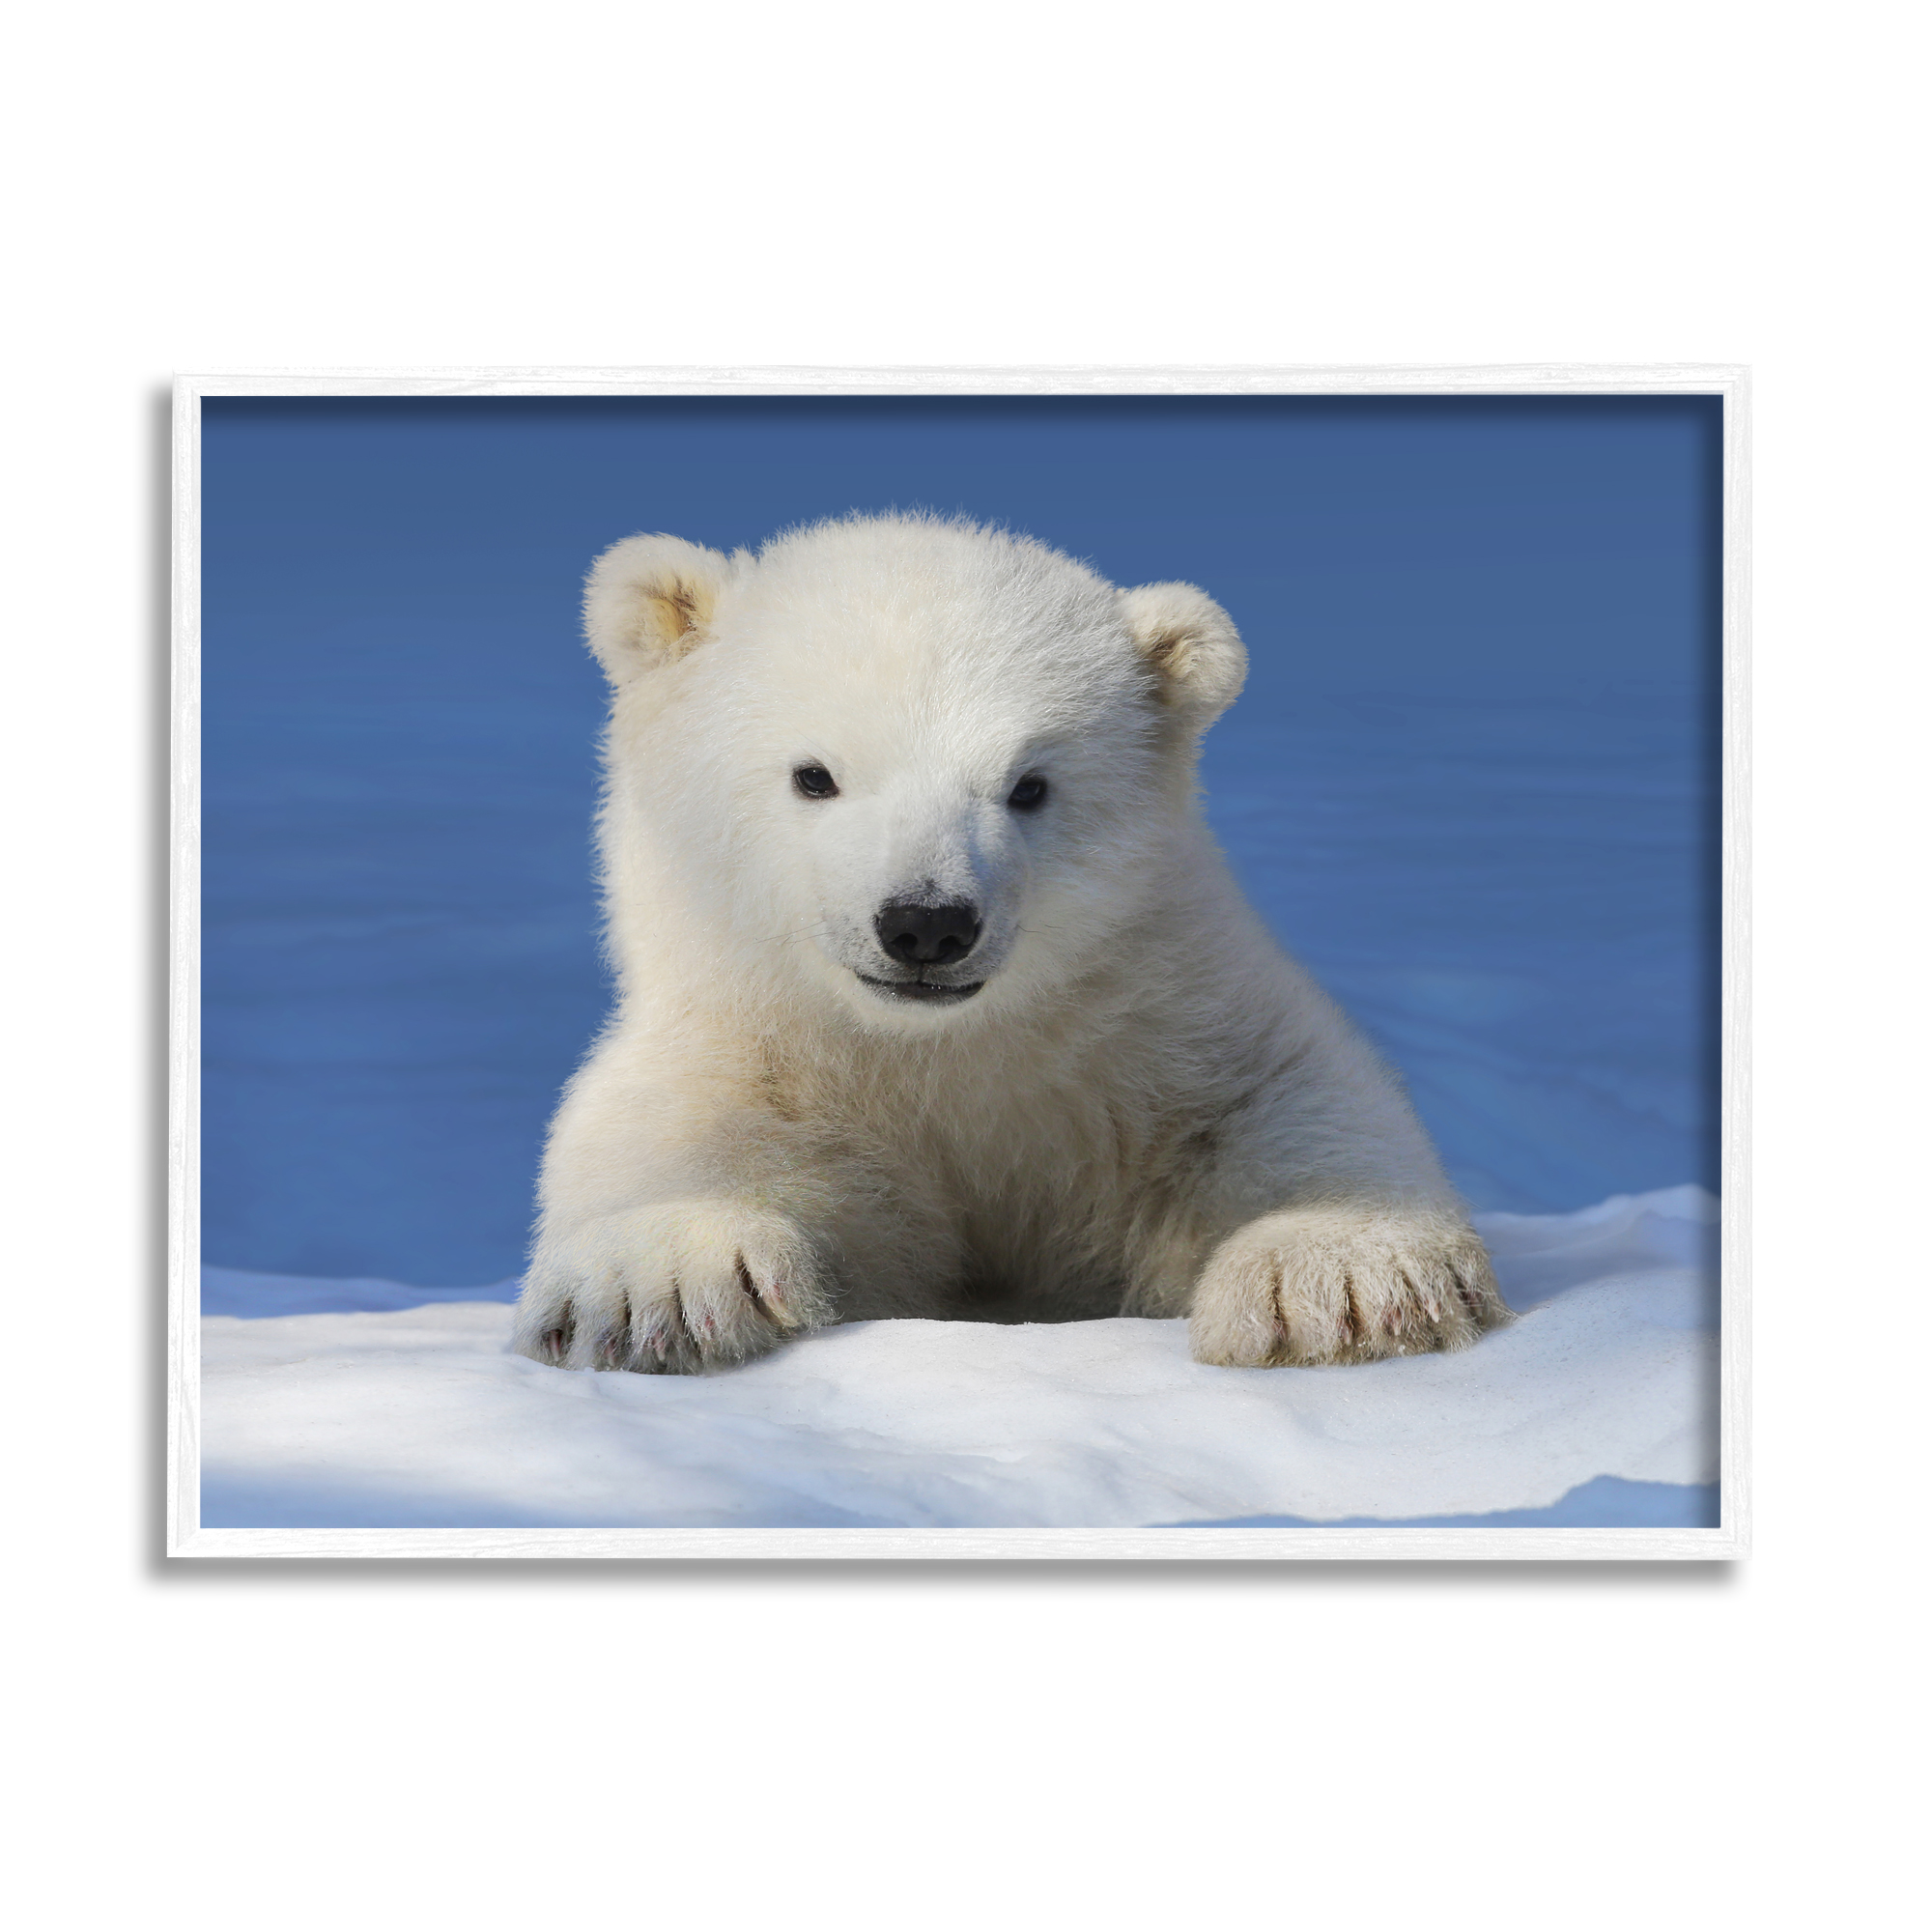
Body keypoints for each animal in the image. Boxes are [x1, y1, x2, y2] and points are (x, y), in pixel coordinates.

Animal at [512, 513, 1510, 1375]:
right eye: (814, 775)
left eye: (1028, 786)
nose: (927, 923)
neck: (943, 1056)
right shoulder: (753, 1045)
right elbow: (671, 1129)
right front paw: (664, 1289)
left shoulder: (1156, 1018)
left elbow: (1282, 1094)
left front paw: (1336, 1281)